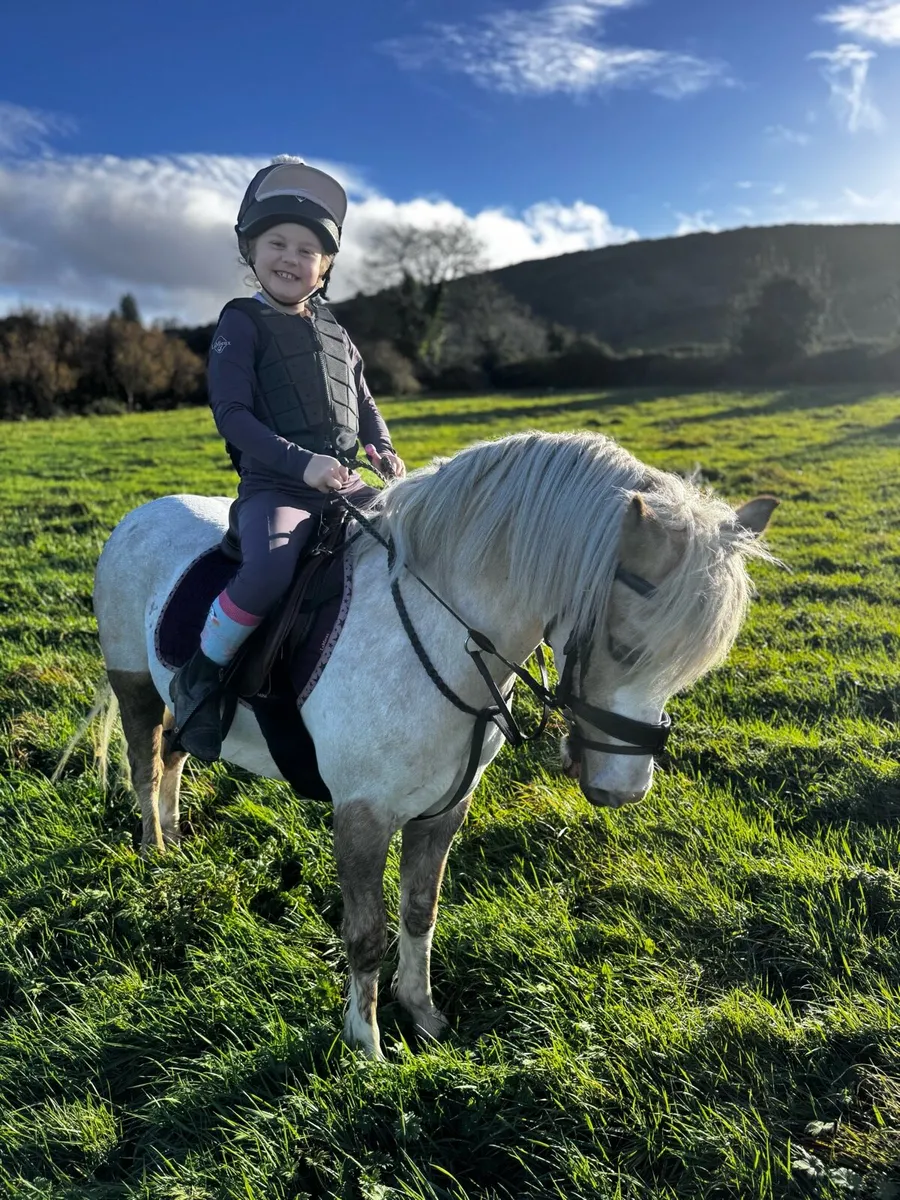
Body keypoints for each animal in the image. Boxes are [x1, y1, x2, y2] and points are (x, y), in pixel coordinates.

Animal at [92, 430, 776, 1058]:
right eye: (621, 645)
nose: (624, 788)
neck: (442, 636)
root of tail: (139, 514)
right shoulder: (361, 816)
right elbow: (366, 934)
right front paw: (367, 1047)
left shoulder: (446, 808)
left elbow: (421, 911)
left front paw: (422, 1016)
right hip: (135, 685)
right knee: (145, 766)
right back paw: (155, 853)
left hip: (183, 708)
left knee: (176, 752)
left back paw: (176, 842)